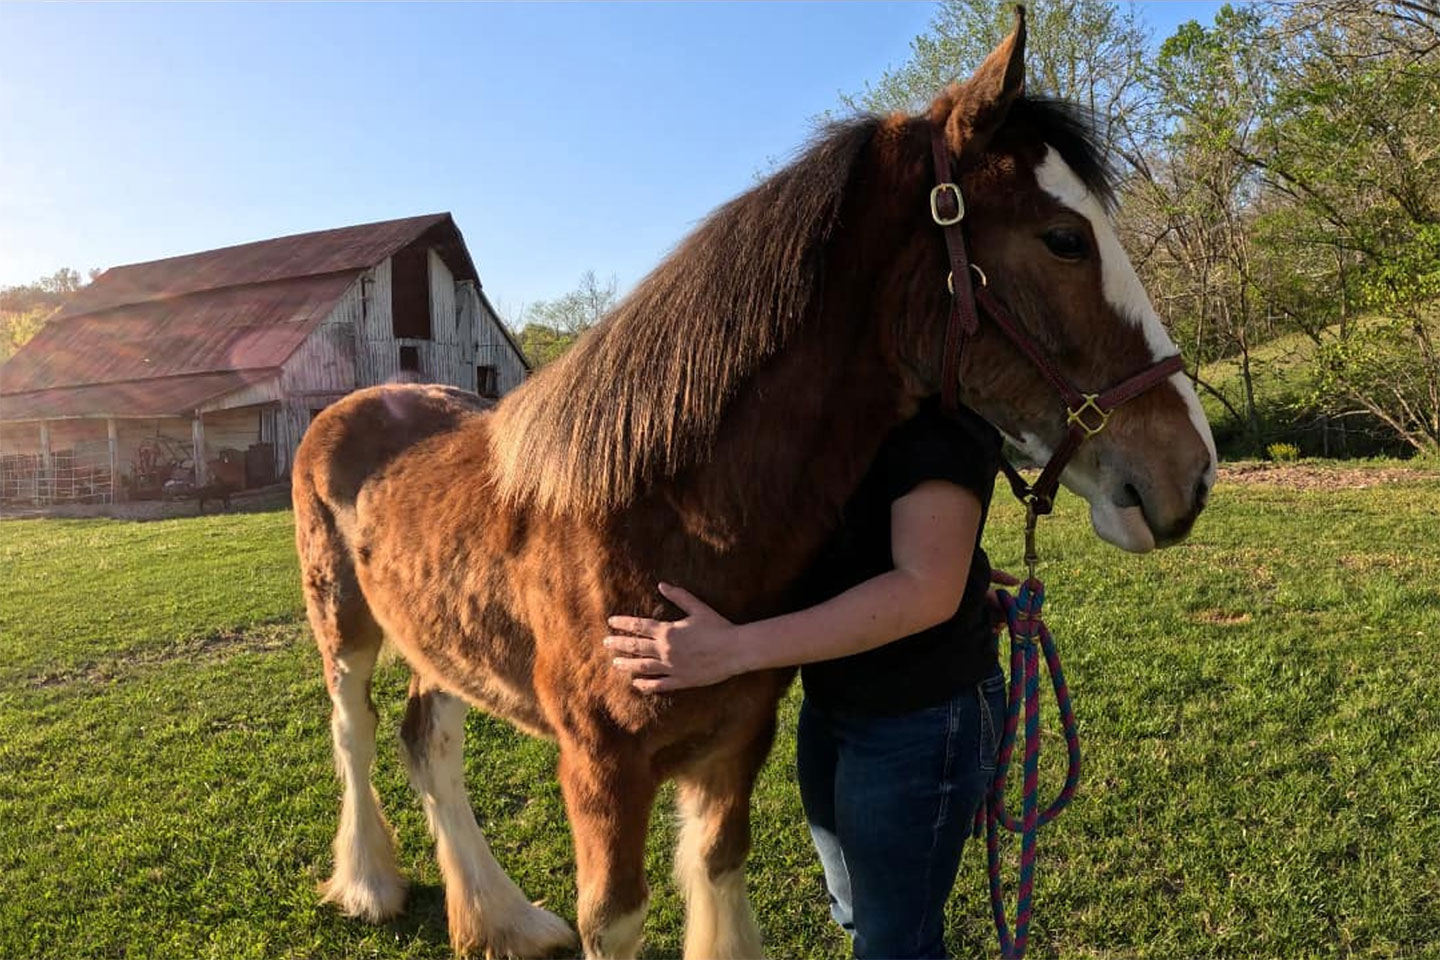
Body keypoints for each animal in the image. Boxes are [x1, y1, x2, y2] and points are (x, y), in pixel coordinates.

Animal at [292, 11, 1215, 959]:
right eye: (1064, 239)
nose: (1192, 471)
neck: (663, 519)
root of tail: (357, 404)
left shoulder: (737, 742)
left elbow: (717, 865)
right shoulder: (601, 772)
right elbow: (614, 917)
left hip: (437, 638)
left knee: (428, 743)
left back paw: (500, 918)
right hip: (344, 626)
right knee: (356, 733)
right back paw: (370, 885)